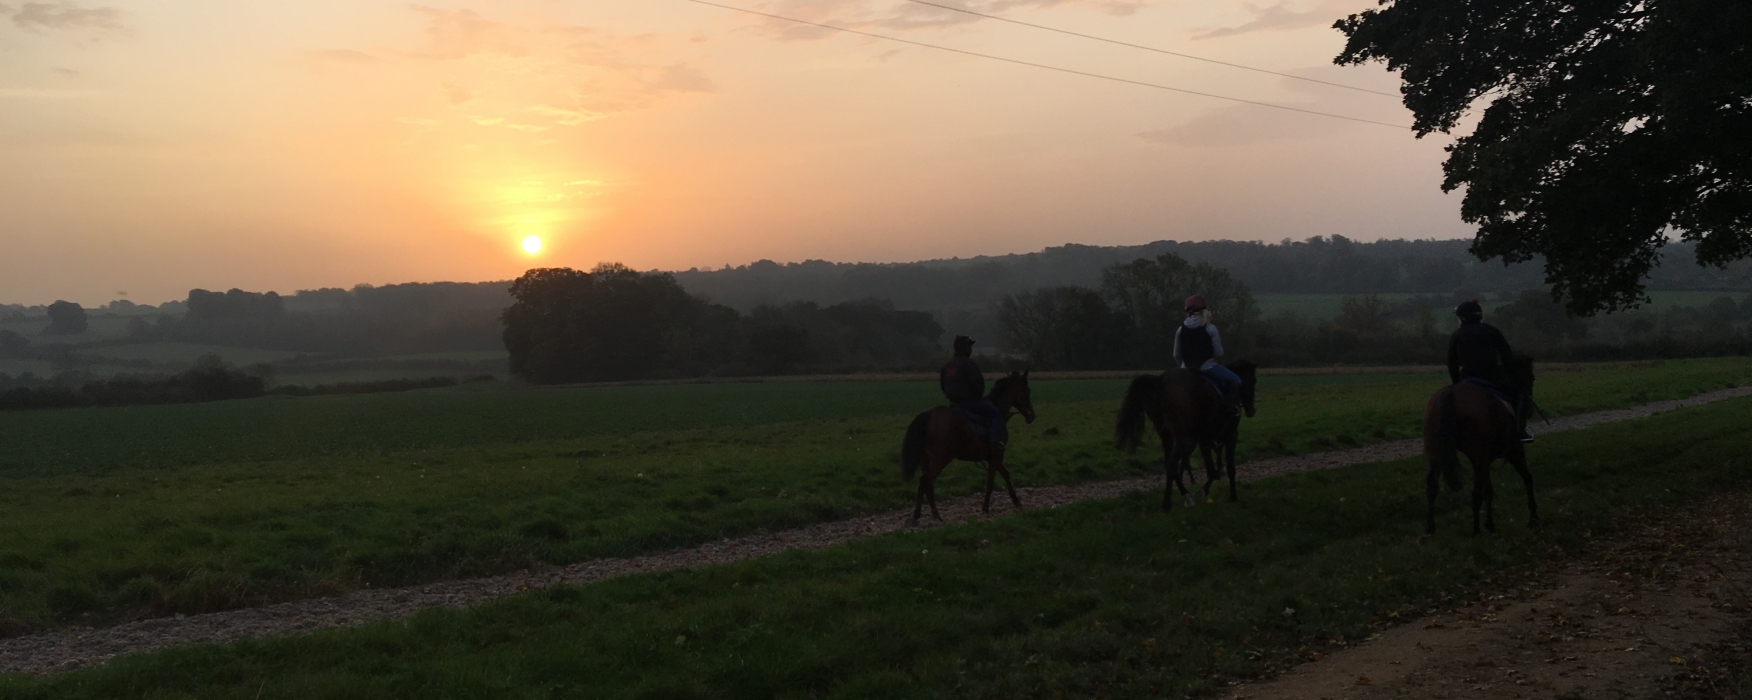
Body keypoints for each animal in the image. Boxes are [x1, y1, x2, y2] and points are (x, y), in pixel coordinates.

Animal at [898, 371, 1036, 526]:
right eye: (1027, 391)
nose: (1032, 415)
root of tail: (928, 415)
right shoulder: (996, 455)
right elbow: (991, 480)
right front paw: (986, 507)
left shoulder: (992, 457)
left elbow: (1005, 474)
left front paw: (1016, 500)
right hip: (940, 459)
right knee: (925, 481)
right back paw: (931, 515)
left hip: (925, 461)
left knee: (927, 485)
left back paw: (925, 515)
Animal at [1115, 361, 1258, 510]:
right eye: (1253, 381)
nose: (1251, 410)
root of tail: (1161, 380)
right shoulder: (1230, 436)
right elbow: (1226, 469)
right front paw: (1231, 496)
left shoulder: (1205, 440)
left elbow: (1212, 468)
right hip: (1183, 439)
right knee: (1173, 464)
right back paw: (1168, 502)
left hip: (1168, 437)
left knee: (1170, 464)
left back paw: (1184, 495)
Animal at [1422, 355, 1539, 535]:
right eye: (1531, 378)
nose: (1529, 409)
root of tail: (1450, 394)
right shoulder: (1513, 450)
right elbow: (1527, 478)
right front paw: (1532, 517)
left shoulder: (1480, 460)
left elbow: (1481, 490)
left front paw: (1480, 524)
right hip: (1482, 455)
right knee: (1484, 490)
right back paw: (1484, 526)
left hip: (1436, 453)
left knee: (1432, 485)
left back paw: (1430, 527)